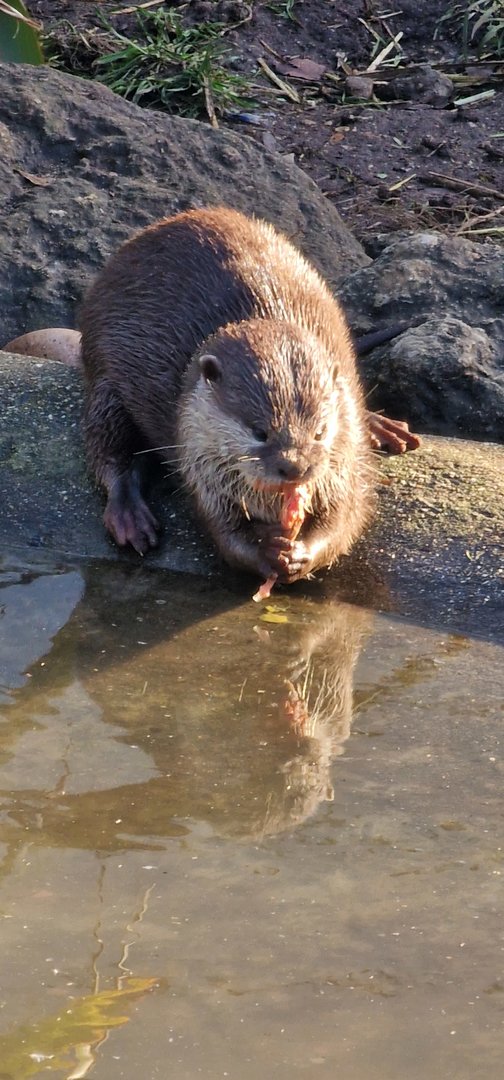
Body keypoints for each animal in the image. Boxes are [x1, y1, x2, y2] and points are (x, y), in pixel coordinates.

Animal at [75, 207, 416, 584]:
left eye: (320, 432)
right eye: (259, 431)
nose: (295, 467)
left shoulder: (346, 457)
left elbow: (348, 518)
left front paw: (304, 553)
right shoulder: (197, 457)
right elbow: (223, 533)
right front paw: (266, 552)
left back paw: (383, 427)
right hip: (104, 379)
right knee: (107, 449)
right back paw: (129, 515)